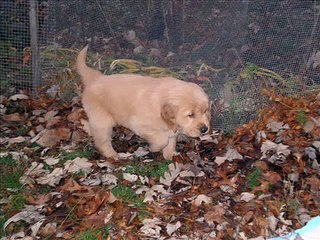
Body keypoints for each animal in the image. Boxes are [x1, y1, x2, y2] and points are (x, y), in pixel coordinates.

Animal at [75, 46, 210, 160]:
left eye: (205, 111)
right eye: (190, 115)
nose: (205, 129)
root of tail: (97, 78)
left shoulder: (171, 130)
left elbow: (170, 142)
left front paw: (170, 156)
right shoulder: (139, 124)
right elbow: (162, 139)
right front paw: (154, 148)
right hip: (102, 120)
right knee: (102, 140)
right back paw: (112, 154)